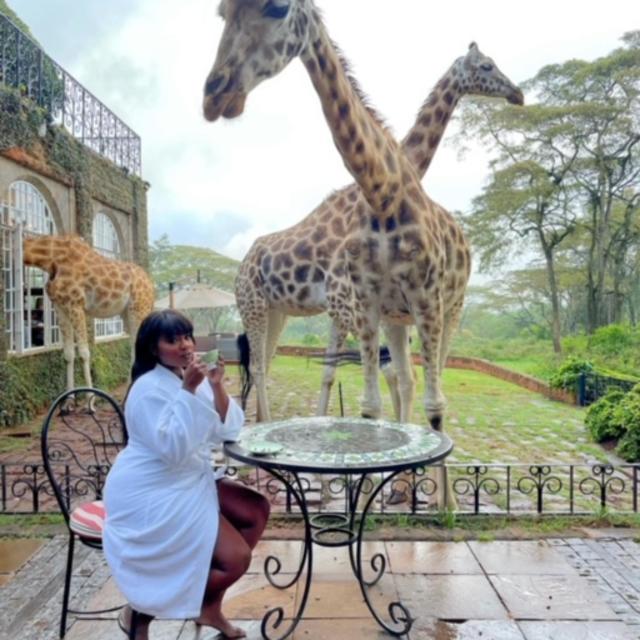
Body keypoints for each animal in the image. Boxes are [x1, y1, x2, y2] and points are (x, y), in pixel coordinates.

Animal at [23, 234, 156, 390]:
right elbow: (68, 354)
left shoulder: (75, 305)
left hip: (139, 308)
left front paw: (90, 395)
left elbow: (84, 353)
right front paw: (69, 395)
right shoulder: (60, 307)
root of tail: (151, 285)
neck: (50, 258)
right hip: (127, 313)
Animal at [232, 42, 524, 422]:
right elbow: (376, 374)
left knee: (265, 361)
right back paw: (260, 424)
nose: (517, 93)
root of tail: (241, 265)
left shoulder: (356, 308)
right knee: (258, 364)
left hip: (276, 309)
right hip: (250, 303)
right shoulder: (349, 304)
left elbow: (356, 374)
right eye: (487, 66)